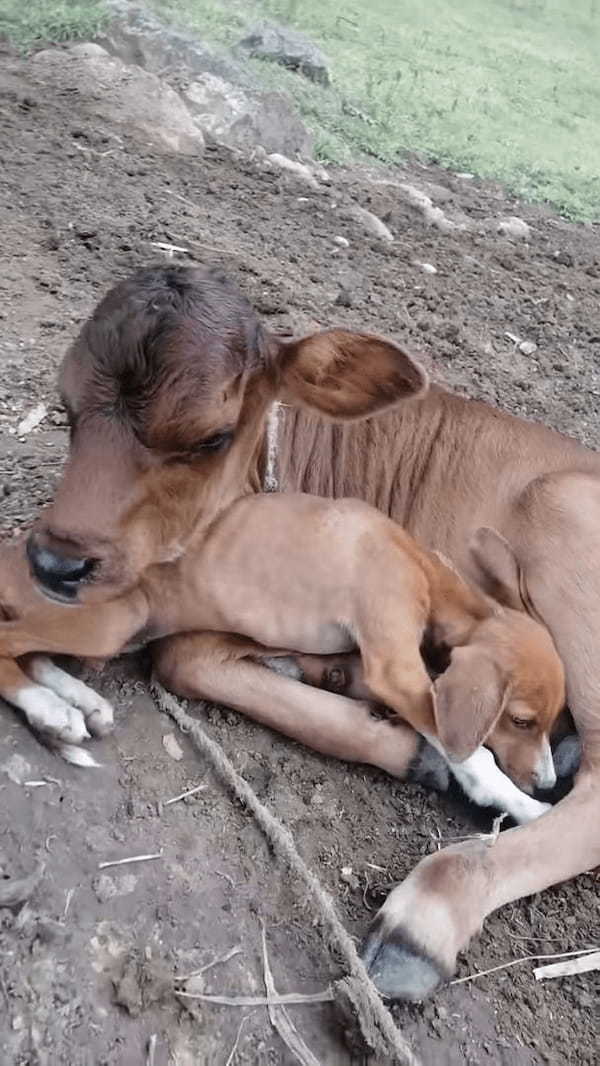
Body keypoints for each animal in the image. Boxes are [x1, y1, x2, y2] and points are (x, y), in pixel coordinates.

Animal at [19, 266, 600, 997]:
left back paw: (423, 920)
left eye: (210, 437)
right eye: (66, 406)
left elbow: (180, 658)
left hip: (563, 522)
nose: (53, 563)